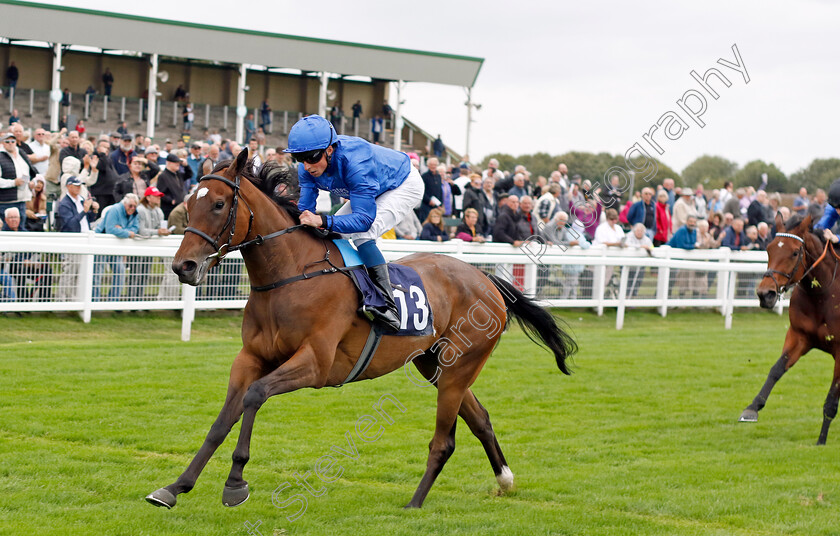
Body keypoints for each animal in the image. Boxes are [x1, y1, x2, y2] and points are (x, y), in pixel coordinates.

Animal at [144, 148, 576, 510]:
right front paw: (175, 487)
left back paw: (415, 504)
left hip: (459, 366)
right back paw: (504, 480)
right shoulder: (250, 358)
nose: (183, 266)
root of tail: (486, 280)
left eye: (219, 204)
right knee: (480, 418)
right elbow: (222, 420)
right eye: (188, 205)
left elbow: (254, 396)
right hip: (435, 365)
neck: (290, 275)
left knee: (445, 440)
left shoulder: (315, 364)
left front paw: (235, 484)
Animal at [740, 214, 840, 444]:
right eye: (769, 249)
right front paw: (752, 408)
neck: (822, 295)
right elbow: (776, 370)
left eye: (795, 252)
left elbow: (832, 399)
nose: (765, 294)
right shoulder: (799, 336)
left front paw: (821, 440)